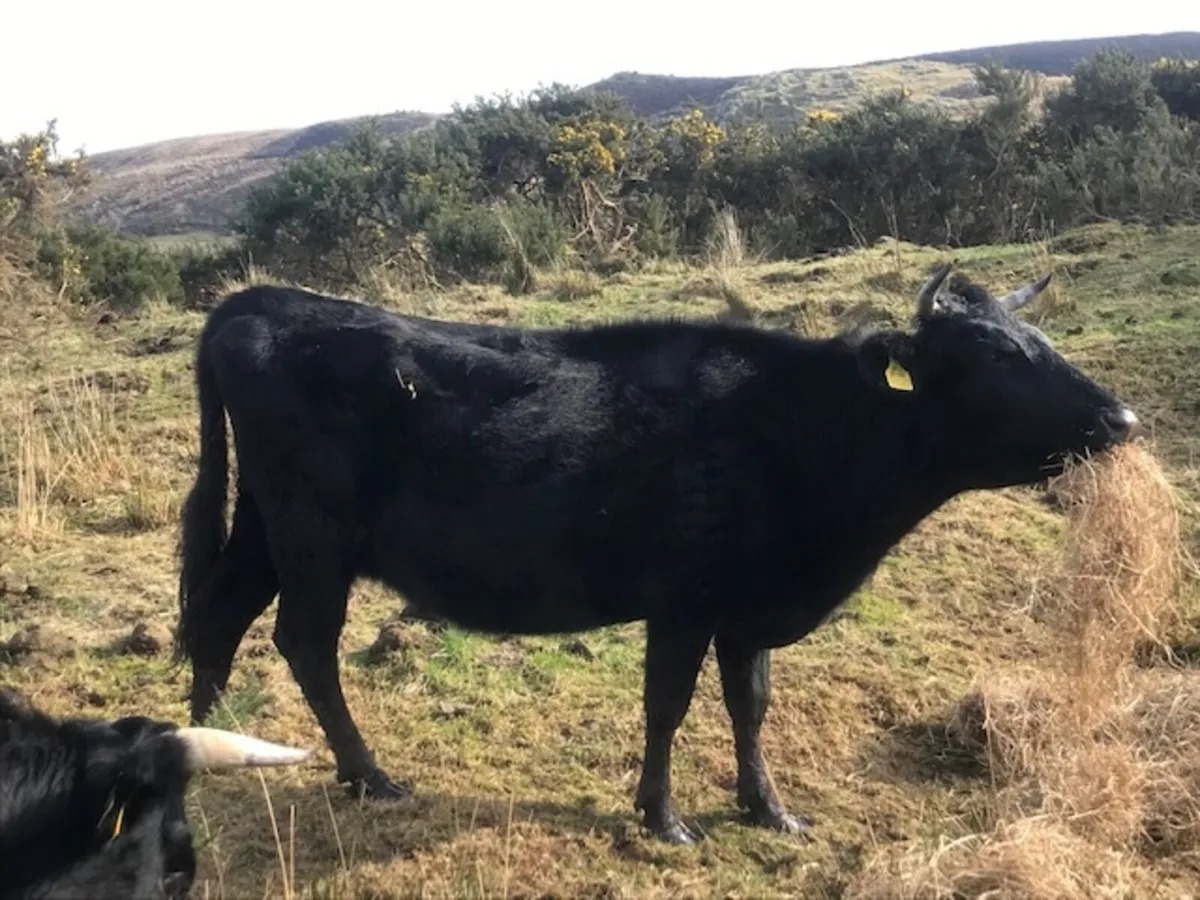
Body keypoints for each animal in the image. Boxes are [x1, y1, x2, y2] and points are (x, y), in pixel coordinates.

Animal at [173, 263, 1139, 845]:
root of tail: (257, 300)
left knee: (220, 615)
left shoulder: (749, 608)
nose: (1122, 418)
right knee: (303, 643)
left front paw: (768, 809)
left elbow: (751, 706)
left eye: (1042, 341)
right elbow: (668, 707)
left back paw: (207, 744)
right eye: (991, 354)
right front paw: (664, 818)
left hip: (265, 529)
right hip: (312, 538)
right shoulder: (684, 599)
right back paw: (369, 776)